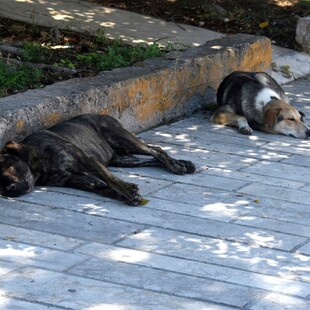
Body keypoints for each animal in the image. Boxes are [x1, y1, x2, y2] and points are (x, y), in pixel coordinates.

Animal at [0, 114, 195, 206]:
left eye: (8, 165)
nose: (7, 190)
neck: (36, 165)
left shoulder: (84, 159)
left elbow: (111, 179)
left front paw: (127, 190)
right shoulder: (75, 179)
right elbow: (101, 186)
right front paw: (125, 195)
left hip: (120, 138)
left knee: (156, 150)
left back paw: (175, 165)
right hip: (123, 159)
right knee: (150, 158)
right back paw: (183, 163)